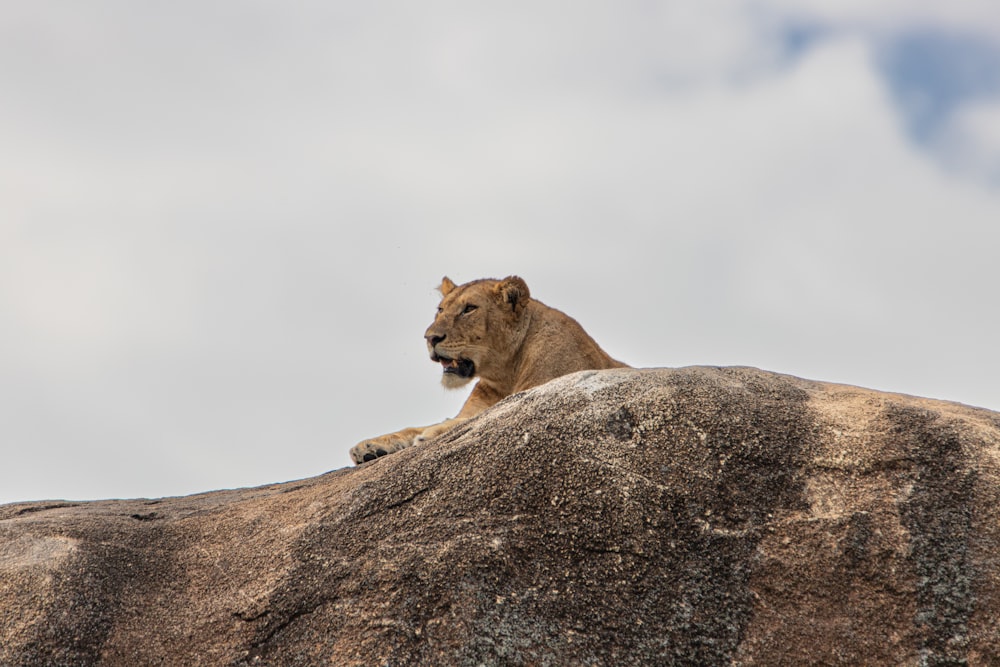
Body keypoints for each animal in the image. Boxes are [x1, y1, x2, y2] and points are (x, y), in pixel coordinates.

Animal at [350, 276, 624, 464]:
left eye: (469, 309)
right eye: (440, 309)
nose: (430, 338)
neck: (505, 373)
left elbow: (470, 421)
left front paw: (430, 435)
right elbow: (416, 427)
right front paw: (368, 447)